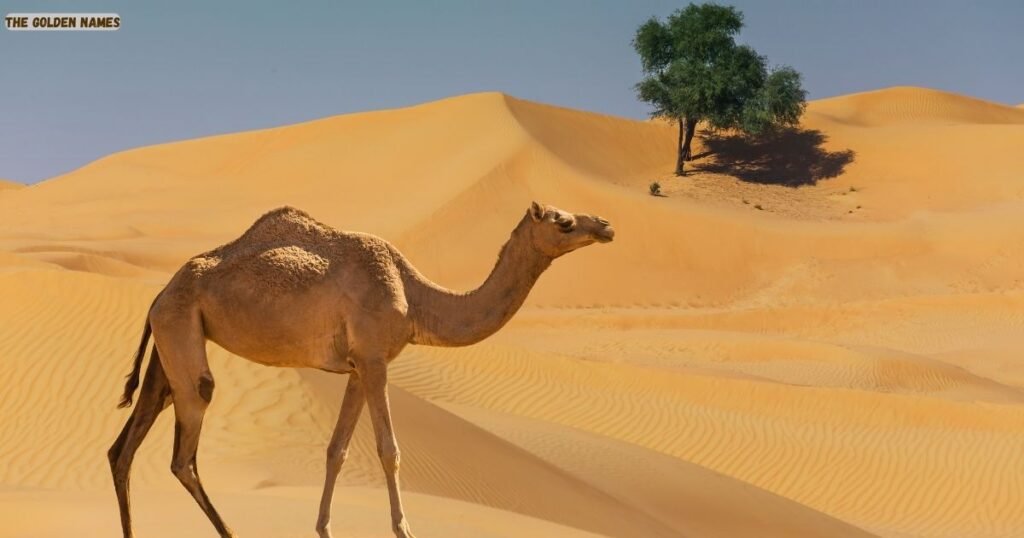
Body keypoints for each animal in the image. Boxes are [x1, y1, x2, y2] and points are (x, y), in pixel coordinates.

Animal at [107, 201, 614, 538]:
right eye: (563, 220)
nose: (606, 225)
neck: (415, 298)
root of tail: (159, 293)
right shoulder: (373, 358)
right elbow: (389, 450)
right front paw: (405, 530)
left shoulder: (355, 367)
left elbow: (337, 450)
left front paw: (325, 528)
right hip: (181, 330)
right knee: (185, 447)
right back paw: (231, 532)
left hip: (170, 341)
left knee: (124, 447)